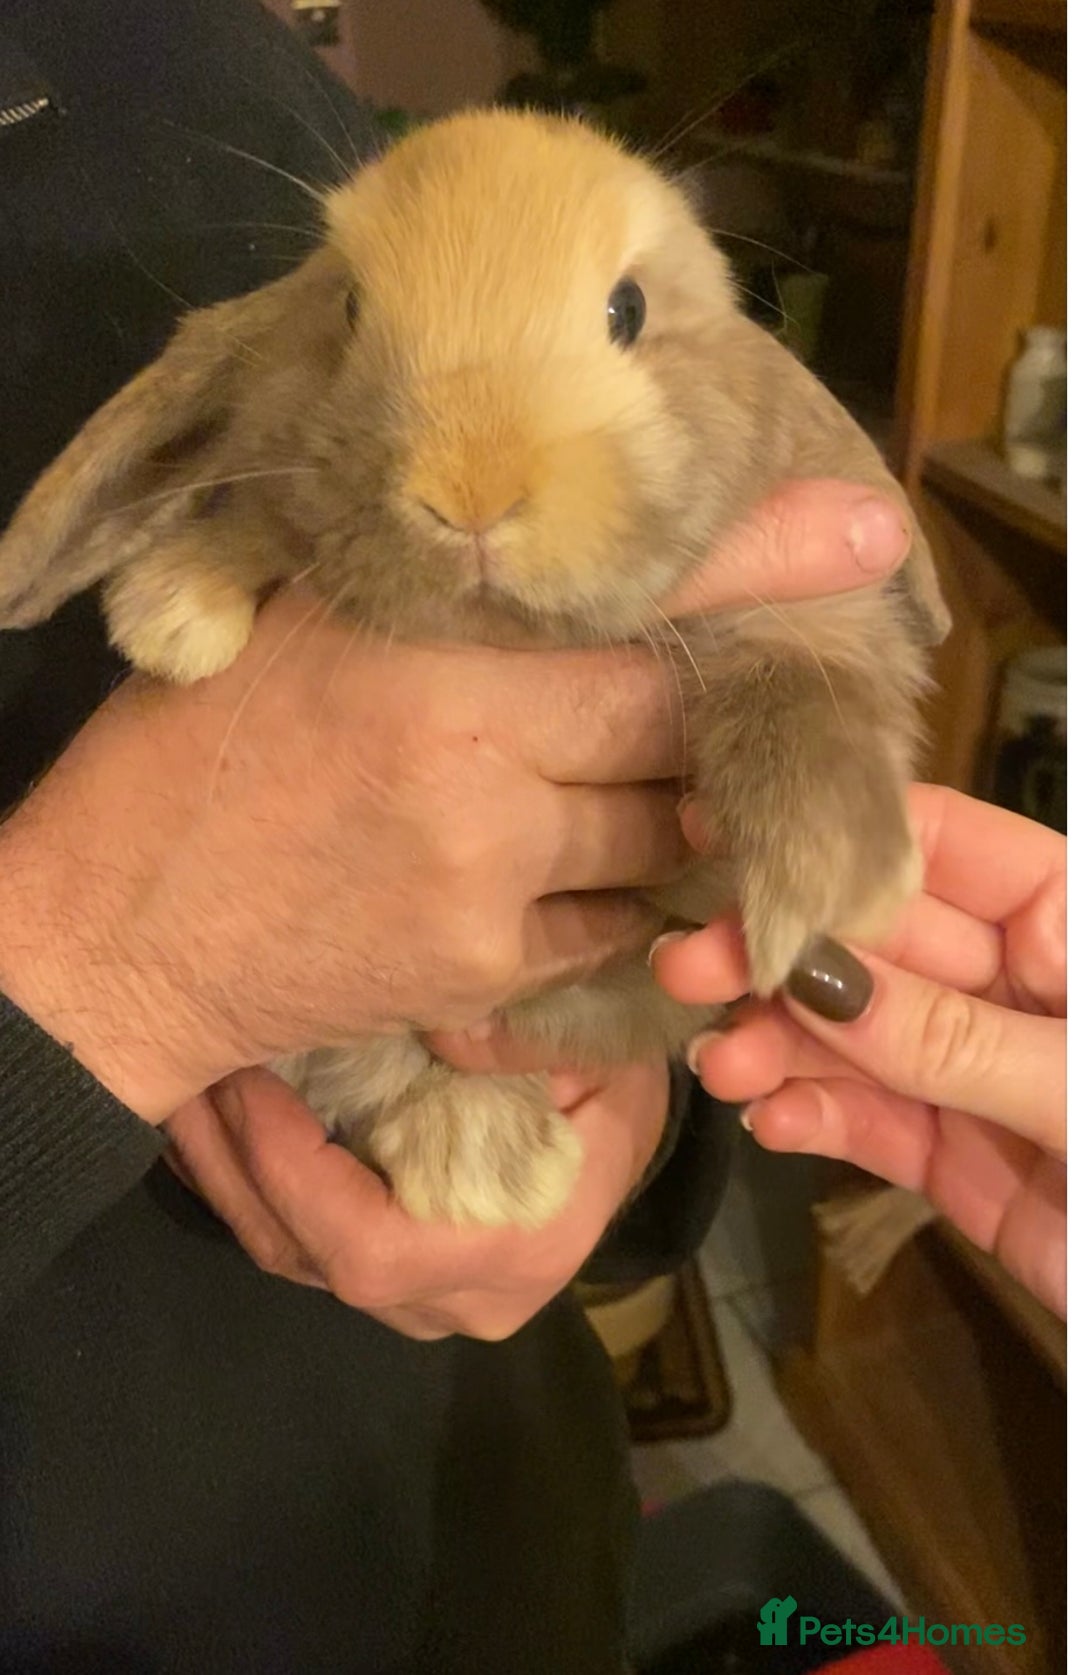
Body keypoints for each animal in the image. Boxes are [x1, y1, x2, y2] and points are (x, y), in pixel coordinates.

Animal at [0, 108, 949, 1230]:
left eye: (628, 310)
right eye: (349, 308)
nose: (470, 491)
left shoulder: (809, 639)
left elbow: (801, 698)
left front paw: (831, 882)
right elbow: (271, 513)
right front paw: (176, 605)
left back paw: (488, 1157)